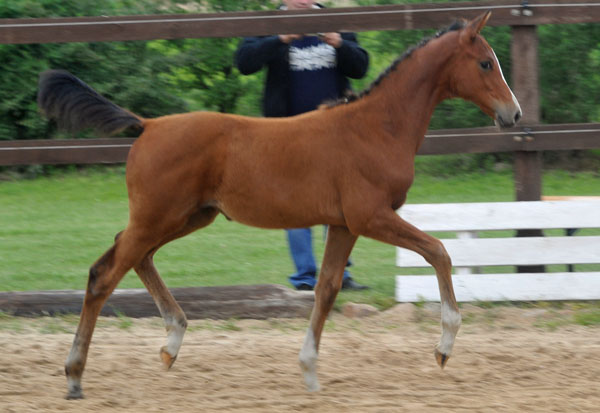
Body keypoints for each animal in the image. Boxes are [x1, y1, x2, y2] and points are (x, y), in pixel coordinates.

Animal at [36, 12, 520, 400]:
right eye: (485, 62)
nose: (513, 115)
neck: (376, 127)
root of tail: (148, 125)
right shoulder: (371, 216)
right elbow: (438, 250)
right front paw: (444, 346)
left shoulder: (343, 224)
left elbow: (327, 289)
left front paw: (309, 372)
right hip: (160, 216)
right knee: (105, 274)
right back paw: (75, 376)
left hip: (187, 217)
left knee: (134, 258)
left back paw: (171, 342)